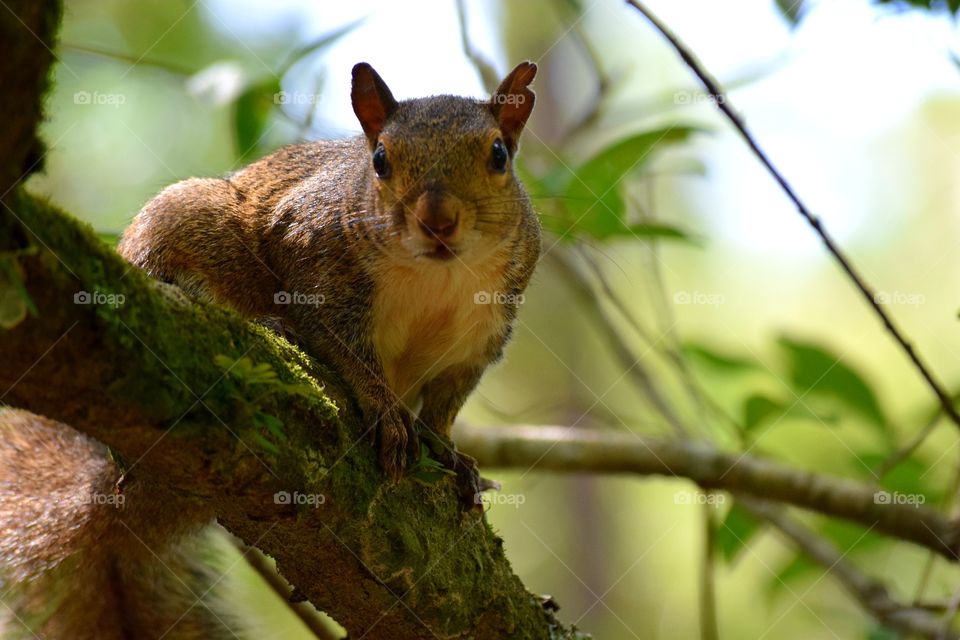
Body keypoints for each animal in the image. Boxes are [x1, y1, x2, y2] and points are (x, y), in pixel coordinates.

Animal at [117, 61, 540, 500]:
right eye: (380, 160)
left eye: (499, 154)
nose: (436, 221)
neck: (436, 275)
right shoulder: (314, 254)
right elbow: (347, 349)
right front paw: (385, 411)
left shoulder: (480, 335)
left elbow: (447, 399)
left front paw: (445, 446)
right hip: (179, 220)